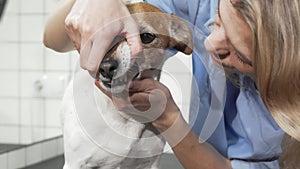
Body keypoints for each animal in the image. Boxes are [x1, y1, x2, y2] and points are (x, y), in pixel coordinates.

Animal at [61, 1, 192, 168]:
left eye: (146, 37)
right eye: (106, 37)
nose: (106, 68)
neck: (125, 118)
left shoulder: (151, 162)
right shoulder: (75, 163)